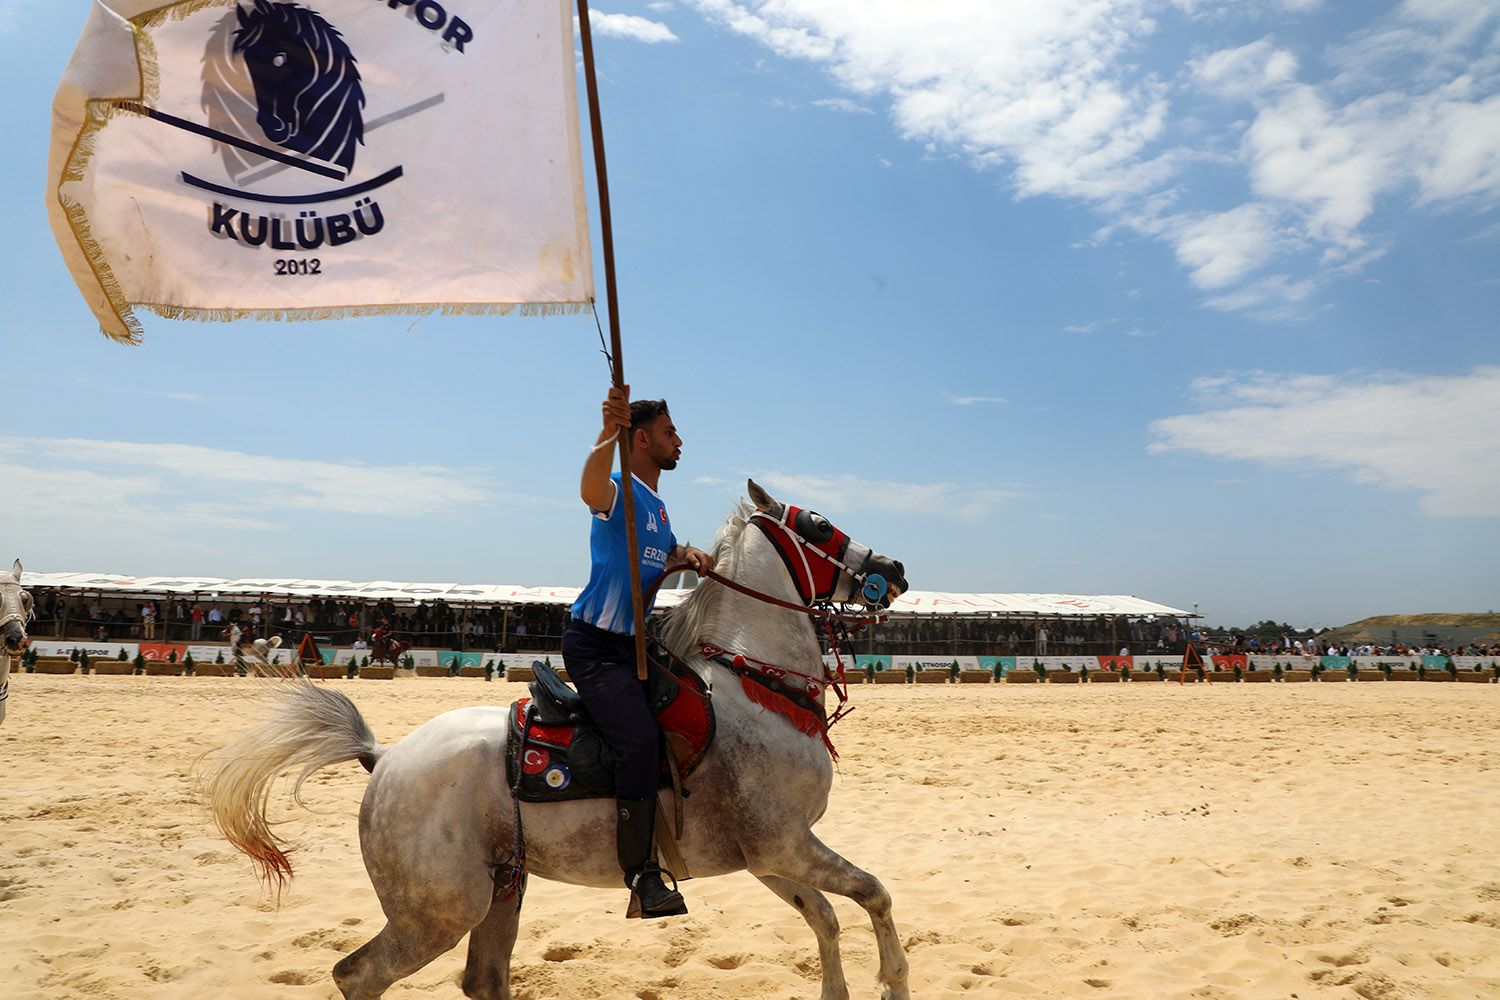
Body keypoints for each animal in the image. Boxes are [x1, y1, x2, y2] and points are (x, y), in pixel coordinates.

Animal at [201, 479, 912, 995]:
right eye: (818, 524)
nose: (895, 567)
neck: (752, 684)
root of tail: (384, 758)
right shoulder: (784, 843)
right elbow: (875, 894)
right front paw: (892, 980)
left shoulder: (767, 855)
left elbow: (826, 918)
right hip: (439, 910)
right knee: (358, 976)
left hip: (500, 890)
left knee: (482, 980)